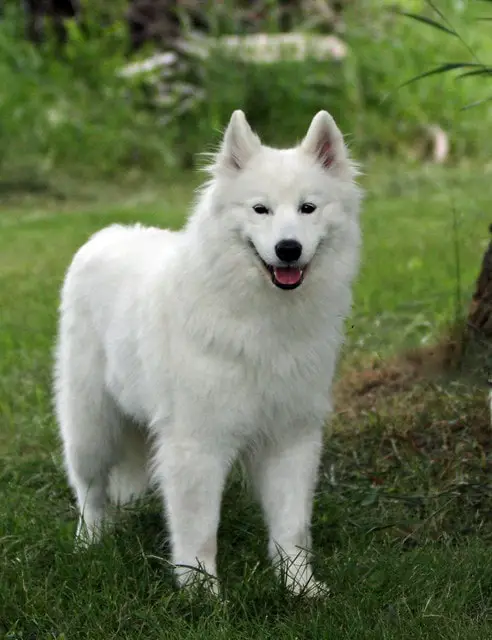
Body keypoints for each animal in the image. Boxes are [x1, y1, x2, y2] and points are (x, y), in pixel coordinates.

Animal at [54, 109, 362, 596]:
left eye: (308, 208)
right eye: (260, 209)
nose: (288, 249)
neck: (260, 316)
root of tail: (105, 236)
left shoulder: (291, 437)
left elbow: (291, 526)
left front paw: (300, 585)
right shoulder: (196, 444)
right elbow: (199, 531)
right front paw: (202, 595)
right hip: (91, 425)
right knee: (89, 491)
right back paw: (90, 544)